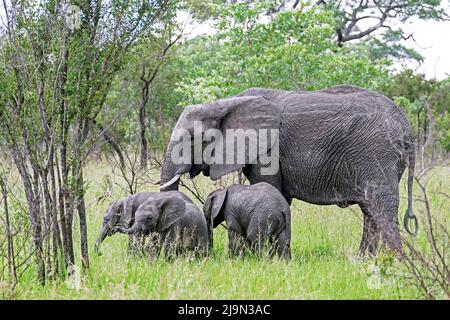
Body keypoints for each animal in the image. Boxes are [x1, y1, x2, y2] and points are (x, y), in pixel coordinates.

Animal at [159, 84, 418, 255]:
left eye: (194, 139)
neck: (225, 103)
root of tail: (406, 124)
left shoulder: (269, 150)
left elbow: (269, 187)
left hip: (376, 153)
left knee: (381, 207)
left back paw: (393, 262)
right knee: (370, 209)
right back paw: (364, 260)